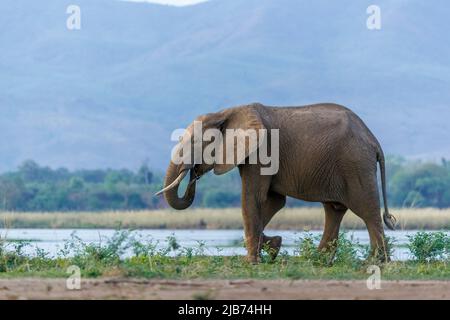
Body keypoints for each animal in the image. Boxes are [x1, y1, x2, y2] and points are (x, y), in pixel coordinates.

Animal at [156, 102, 396, 262]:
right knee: (334, 209)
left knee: (366, 209)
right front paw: (274, 246)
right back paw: (317, 261)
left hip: (355, 164)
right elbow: (273, 202)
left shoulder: (261, 152)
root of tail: (374, 141)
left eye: (195, 143)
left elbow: (253, 197)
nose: (194, 173)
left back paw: (375, 262)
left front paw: (252, 262)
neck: (226, 113)